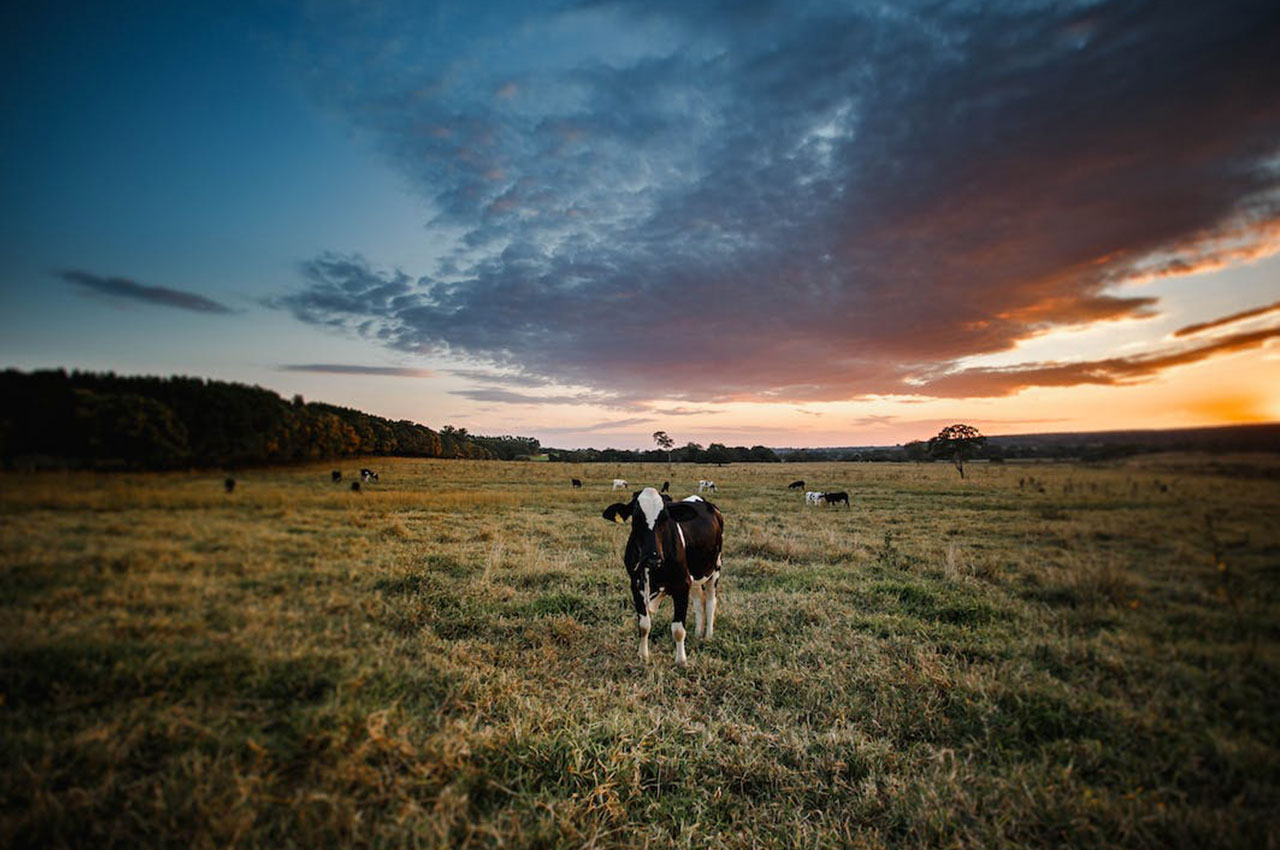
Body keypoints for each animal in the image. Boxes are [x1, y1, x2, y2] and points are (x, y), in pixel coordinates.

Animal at [604, 483, 727, 665]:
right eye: (636, 518)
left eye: (665, 518)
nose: (653, 557)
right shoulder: (635, 585)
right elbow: (644, 624)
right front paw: (643, 655)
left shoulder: (682, 585)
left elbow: (678, 628)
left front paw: (681, 661)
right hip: (694, 577)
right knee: (699, 601)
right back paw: (698, 634)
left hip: (715, 568)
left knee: (711, 602)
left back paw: (708, 636)